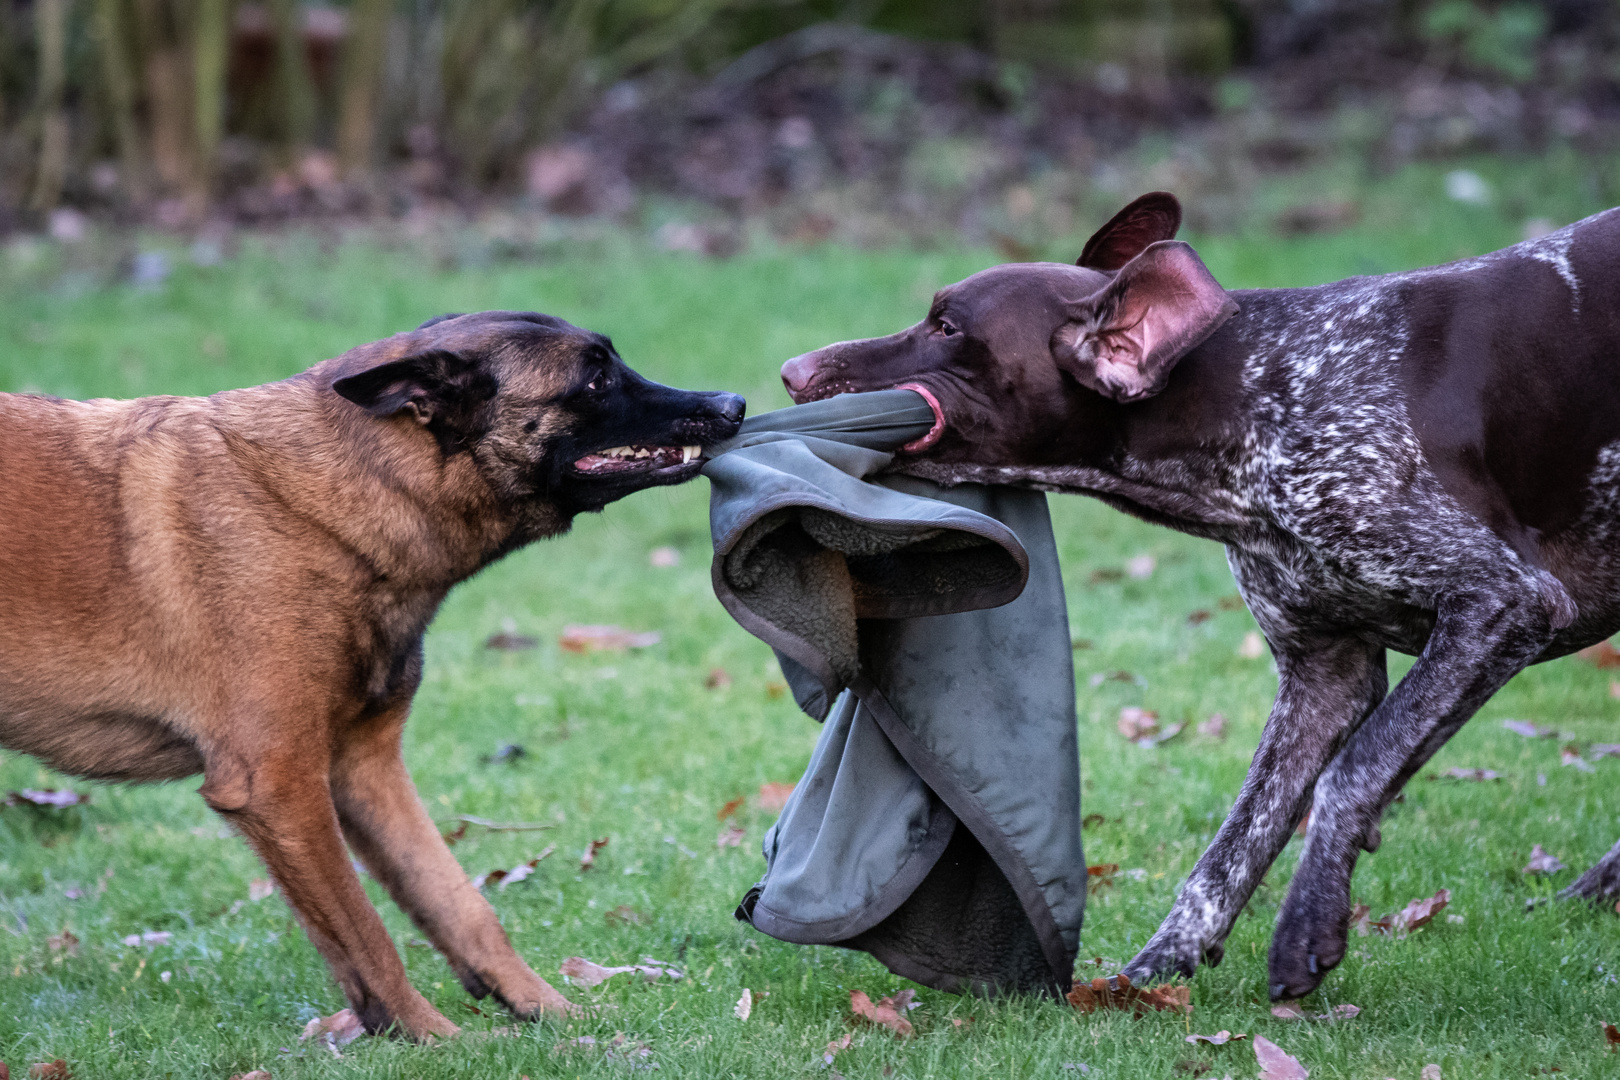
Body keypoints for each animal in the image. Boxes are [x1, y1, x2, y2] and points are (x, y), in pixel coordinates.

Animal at [0, 312, 741, 1036]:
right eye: (594, 379)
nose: (732, 403)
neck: (321, 504)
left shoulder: (363, 767)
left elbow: (459, 904)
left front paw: (548, 1014)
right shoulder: (279, 785)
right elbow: (366, 933)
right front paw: (434, 1040)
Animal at [777, 191, 1620, 997]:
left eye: (947, 325)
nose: (790, 370)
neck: (1255, 397)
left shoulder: (1501, 604)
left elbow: (1355, 771)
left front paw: (1308, 921)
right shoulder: (1325, 674)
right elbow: (1233, 846)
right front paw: (1156, 968)